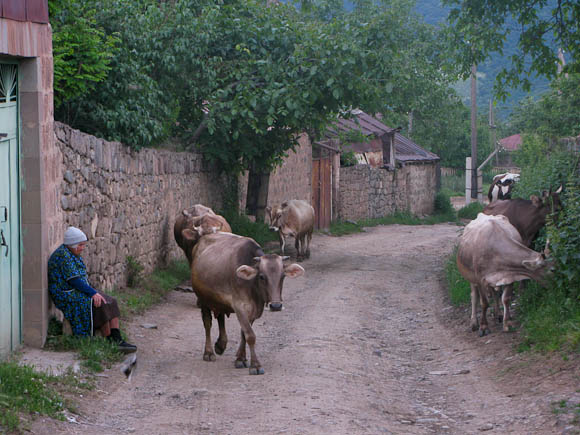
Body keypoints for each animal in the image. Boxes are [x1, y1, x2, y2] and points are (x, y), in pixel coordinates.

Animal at [183, 230, 304, 375]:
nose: (276, 305)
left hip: (219, 300)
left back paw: (221, 345)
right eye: (261, 276)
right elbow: (250, 335)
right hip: (203, 299)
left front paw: (241, 358)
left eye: (283, 276)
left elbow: (243, 334)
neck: (253, 288)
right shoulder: (239, 306)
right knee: (207, 323)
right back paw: (209, 352)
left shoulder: (253, 310)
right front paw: (255, 365)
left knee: (220, 318)